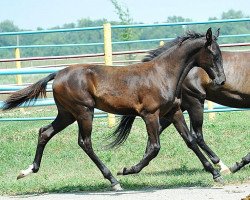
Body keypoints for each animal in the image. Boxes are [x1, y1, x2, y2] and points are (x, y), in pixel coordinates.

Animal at [1, 28, 225, 191]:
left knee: (44, 132)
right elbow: (154, 148)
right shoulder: (150, 115)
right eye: (214, 54)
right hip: (84, 111)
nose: (221, 80)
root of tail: (58, 74)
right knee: (85, 142)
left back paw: (27, 170)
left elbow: (190, 140)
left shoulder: (174, 112)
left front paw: (215, 173)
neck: (163, 74)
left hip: (67, 114)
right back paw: (113, 181)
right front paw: (127, 170)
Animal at [114, 40, 250, 178]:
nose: (221, 80)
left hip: (174, 108)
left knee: (161, 130)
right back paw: (221, 165)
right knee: (196, 135)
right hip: (194, 102)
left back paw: (134, 167)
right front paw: (239, 164)